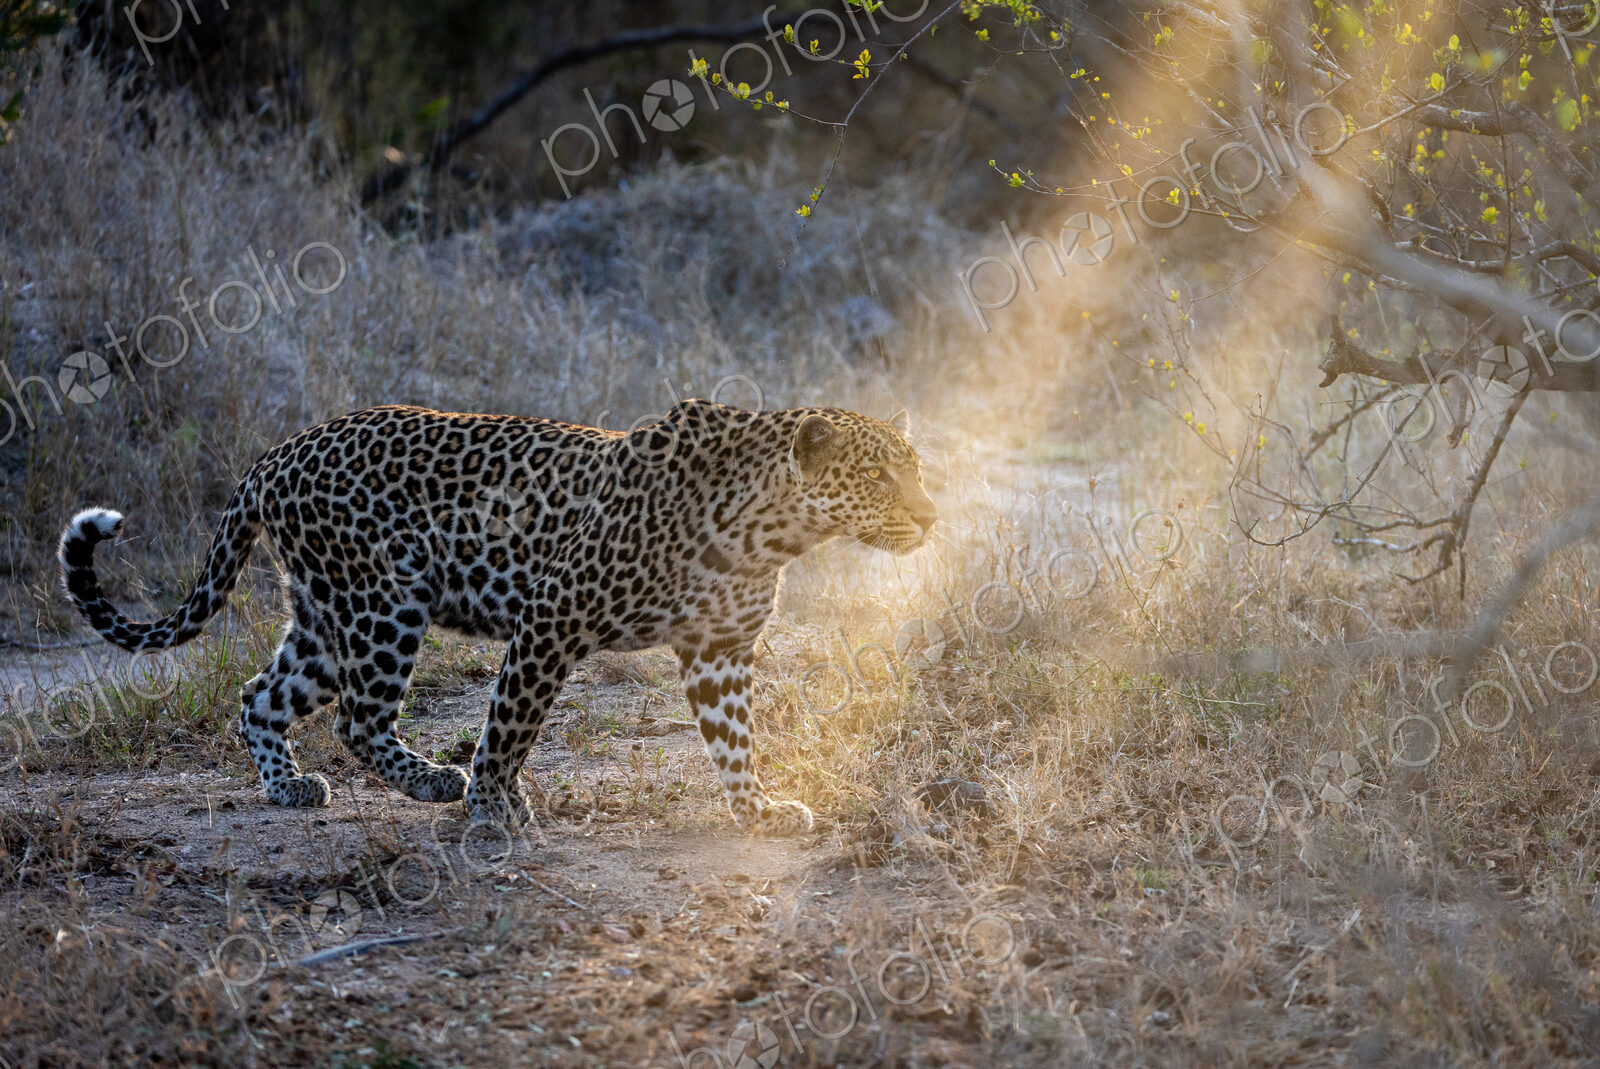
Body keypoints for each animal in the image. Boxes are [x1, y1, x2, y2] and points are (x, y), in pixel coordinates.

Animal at [58, 400, 937, 835]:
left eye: (915, 469)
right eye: (878, 477)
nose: (932, 515)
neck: (770, 530)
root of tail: (274, 455)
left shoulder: (719, 646)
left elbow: (734, 738)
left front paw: (757, 808)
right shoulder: (551, 617)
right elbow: (510, 725)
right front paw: (492, 807)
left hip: (322, 616)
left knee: (259, 696)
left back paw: (289, 787)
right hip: (382, 605)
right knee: (356, 717)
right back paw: (433, 781)